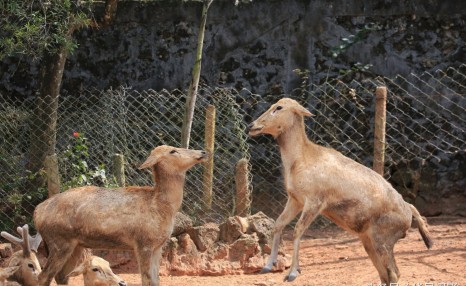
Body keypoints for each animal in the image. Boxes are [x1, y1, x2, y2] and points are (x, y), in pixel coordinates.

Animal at [33, 145, 208, 286]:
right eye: (173, 150)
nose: (203, 152)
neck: (164, 207)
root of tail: (37, 212)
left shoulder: (158, 246)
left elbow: (155, 281)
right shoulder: (142, 243)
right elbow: (146, 280)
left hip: (75, 245)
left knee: (62, 276)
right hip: (59, 242)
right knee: (43, 276)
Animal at [248, 98, 434, 284]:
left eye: (279, 107)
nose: (252, 125)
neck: (300, 159)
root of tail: (409, 211)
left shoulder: (315, 202)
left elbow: (297, 230)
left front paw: (293, 273)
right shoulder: (295, 199)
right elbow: (279, 224)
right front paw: (267, 266)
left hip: (383, 241)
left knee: (394, 273)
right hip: (369, 242)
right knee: (385, 275)